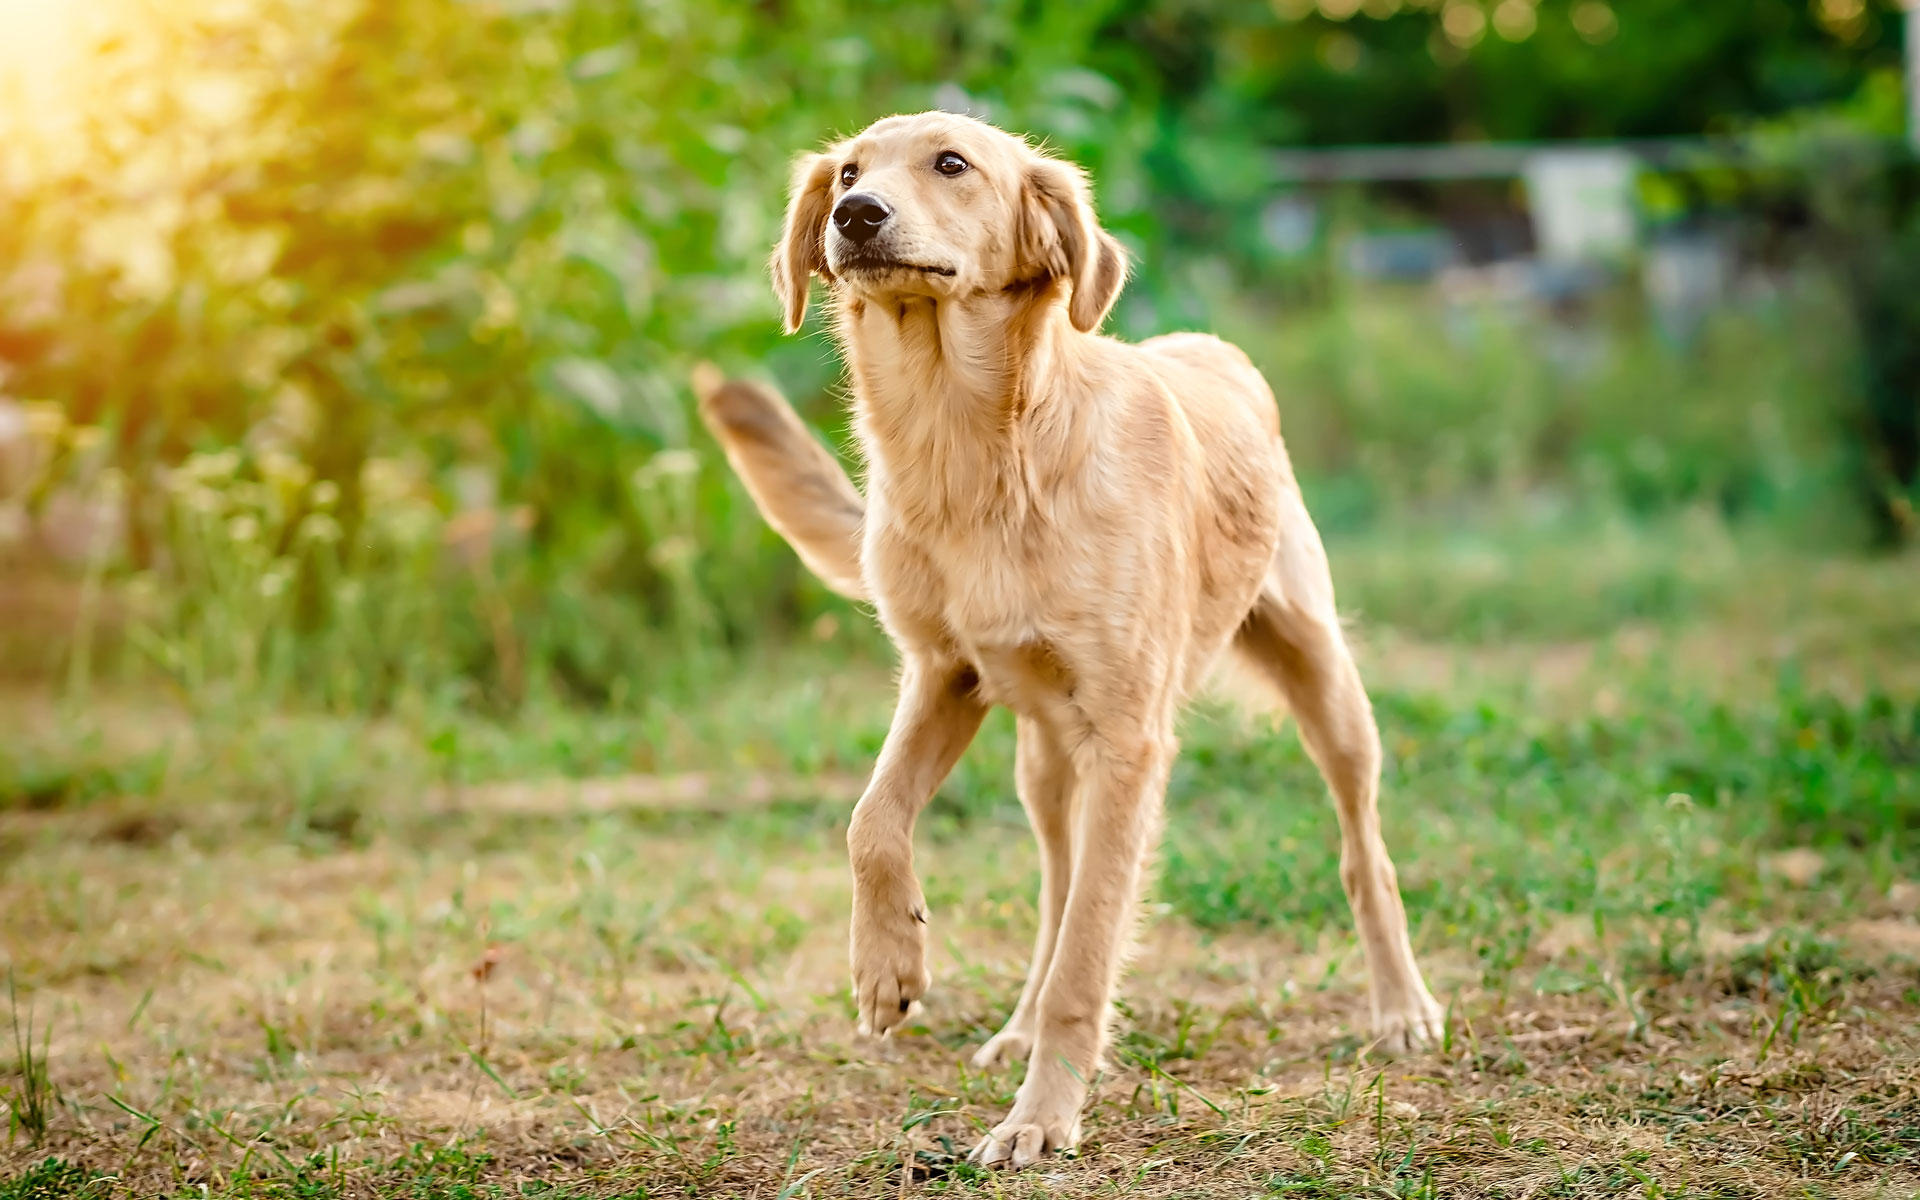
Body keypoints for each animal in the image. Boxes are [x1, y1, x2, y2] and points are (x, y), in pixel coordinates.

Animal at [695, 109, 1443, 1159]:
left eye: (952, 164)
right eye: (846, 172)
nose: (856, 215)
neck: (975, 456)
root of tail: (1216, 349)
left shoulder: (1129, 746)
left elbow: (1090, 958)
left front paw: (1042, 1120)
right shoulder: (942, 676)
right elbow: (871, 821)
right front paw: (888, 967)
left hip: (1325, 686)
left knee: (1361, 852)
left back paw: (1401, 1008)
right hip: (1045, 765)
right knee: (1053, 890)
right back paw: (1011, 1027)